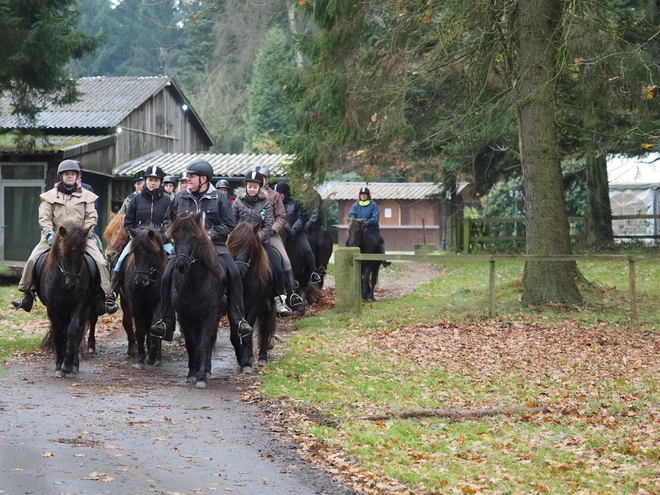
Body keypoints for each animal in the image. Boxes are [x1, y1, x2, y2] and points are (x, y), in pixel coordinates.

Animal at [38, 223, 98, 378]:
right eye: (63, 253)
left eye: (82, 253)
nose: (72, 284)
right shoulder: (52, 308)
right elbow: (59, 334)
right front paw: (59, 366)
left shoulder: (77, 305)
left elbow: (72, 331)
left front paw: (68, 365)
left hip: (84, 310)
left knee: (78, 332)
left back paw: (75, 365)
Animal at [122, 227, 168, 370]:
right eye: (135, 251)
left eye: (151, 252)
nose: (141, 280)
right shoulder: (136, 306)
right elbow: (140, 332)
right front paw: (141, 359)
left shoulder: (158, 304)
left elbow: (155, 329)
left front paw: (152, 357)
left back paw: (157, 358)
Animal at [168, 211, 227, 390]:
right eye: (174, 236)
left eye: (194, 237)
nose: (181, 265)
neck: (193, 283)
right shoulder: (184, 317)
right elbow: (191, 344)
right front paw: (191, 374)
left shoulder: (209, 316)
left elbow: (204, 343)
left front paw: (201, 377)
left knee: (210, 340)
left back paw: (206, 370)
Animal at [228, 223, 278, 370]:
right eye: (232, 245)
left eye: (250, 247)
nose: (238, 270)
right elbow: (236, 333)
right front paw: (243, 359)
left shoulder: (254, 306)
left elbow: (248, 333)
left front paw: (246, 364)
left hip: (268, 307)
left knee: (265, 328)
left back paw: (262, 358)